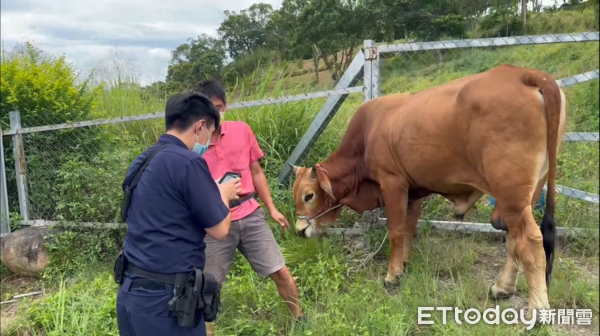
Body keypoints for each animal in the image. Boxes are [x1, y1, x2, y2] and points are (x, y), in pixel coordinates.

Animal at [290, 64, 568, 318]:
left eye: (308, 195)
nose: (300, 230)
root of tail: (524, 73)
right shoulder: (412, 193)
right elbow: (408, 229)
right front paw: (403, 263)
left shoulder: (392, 183)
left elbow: (396, 231)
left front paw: (392, 275)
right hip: (525, 195)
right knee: (514, 240)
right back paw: (503, 288)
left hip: (512, 196)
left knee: (530, 241)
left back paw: (538, 309)